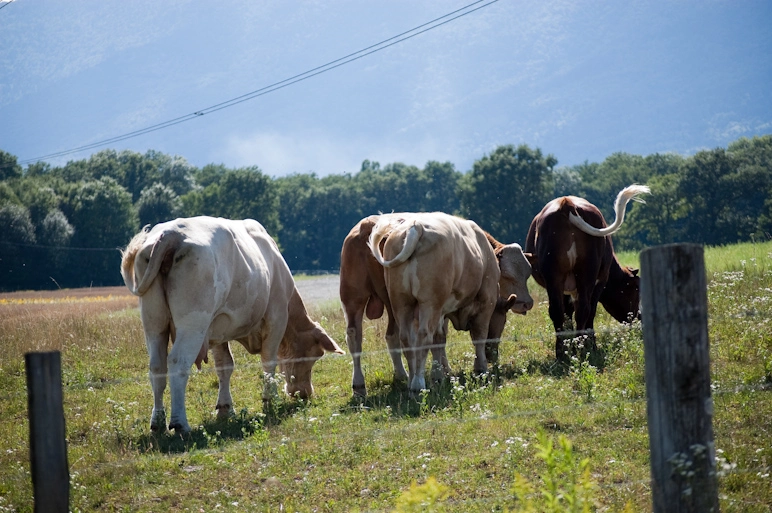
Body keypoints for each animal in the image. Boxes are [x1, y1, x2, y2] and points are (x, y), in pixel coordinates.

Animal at [120, 216, 344, 432]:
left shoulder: (218, 327)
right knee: (177, 363)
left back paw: (157, 422)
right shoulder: (277, 317)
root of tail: (170, 234)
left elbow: (224, 366)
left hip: (154, 323)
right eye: (314, 355)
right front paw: (270, 399)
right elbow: (268, 360)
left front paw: (225, 408)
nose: (304, 394)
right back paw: (180, 423)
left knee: (157, 367)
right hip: (193, 324)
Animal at [368, 212, 532, 392]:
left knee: (406, 339)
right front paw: (480, 368)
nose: (492, 356)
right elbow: (479, 335)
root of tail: (415, 227)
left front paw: (440, 373)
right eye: (503, 322)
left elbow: (439, 340)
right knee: (423, 337)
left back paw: (412, 381)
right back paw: (418, 384)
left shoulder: (442, 312)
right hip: (429, 304)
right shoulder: (486, 301)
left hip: (401, 303)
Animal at [528, 185, 648, 360]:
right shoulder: (601, 281)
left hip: (554, 277)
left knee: (558, 311)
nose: (640, 318)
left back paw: (562, 354)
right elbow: (589, 311)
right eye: (636, 290)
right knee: (585, 310)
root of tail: (567, 203)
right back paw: (583, 348)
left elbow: (567, 313)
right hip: (587, 275)